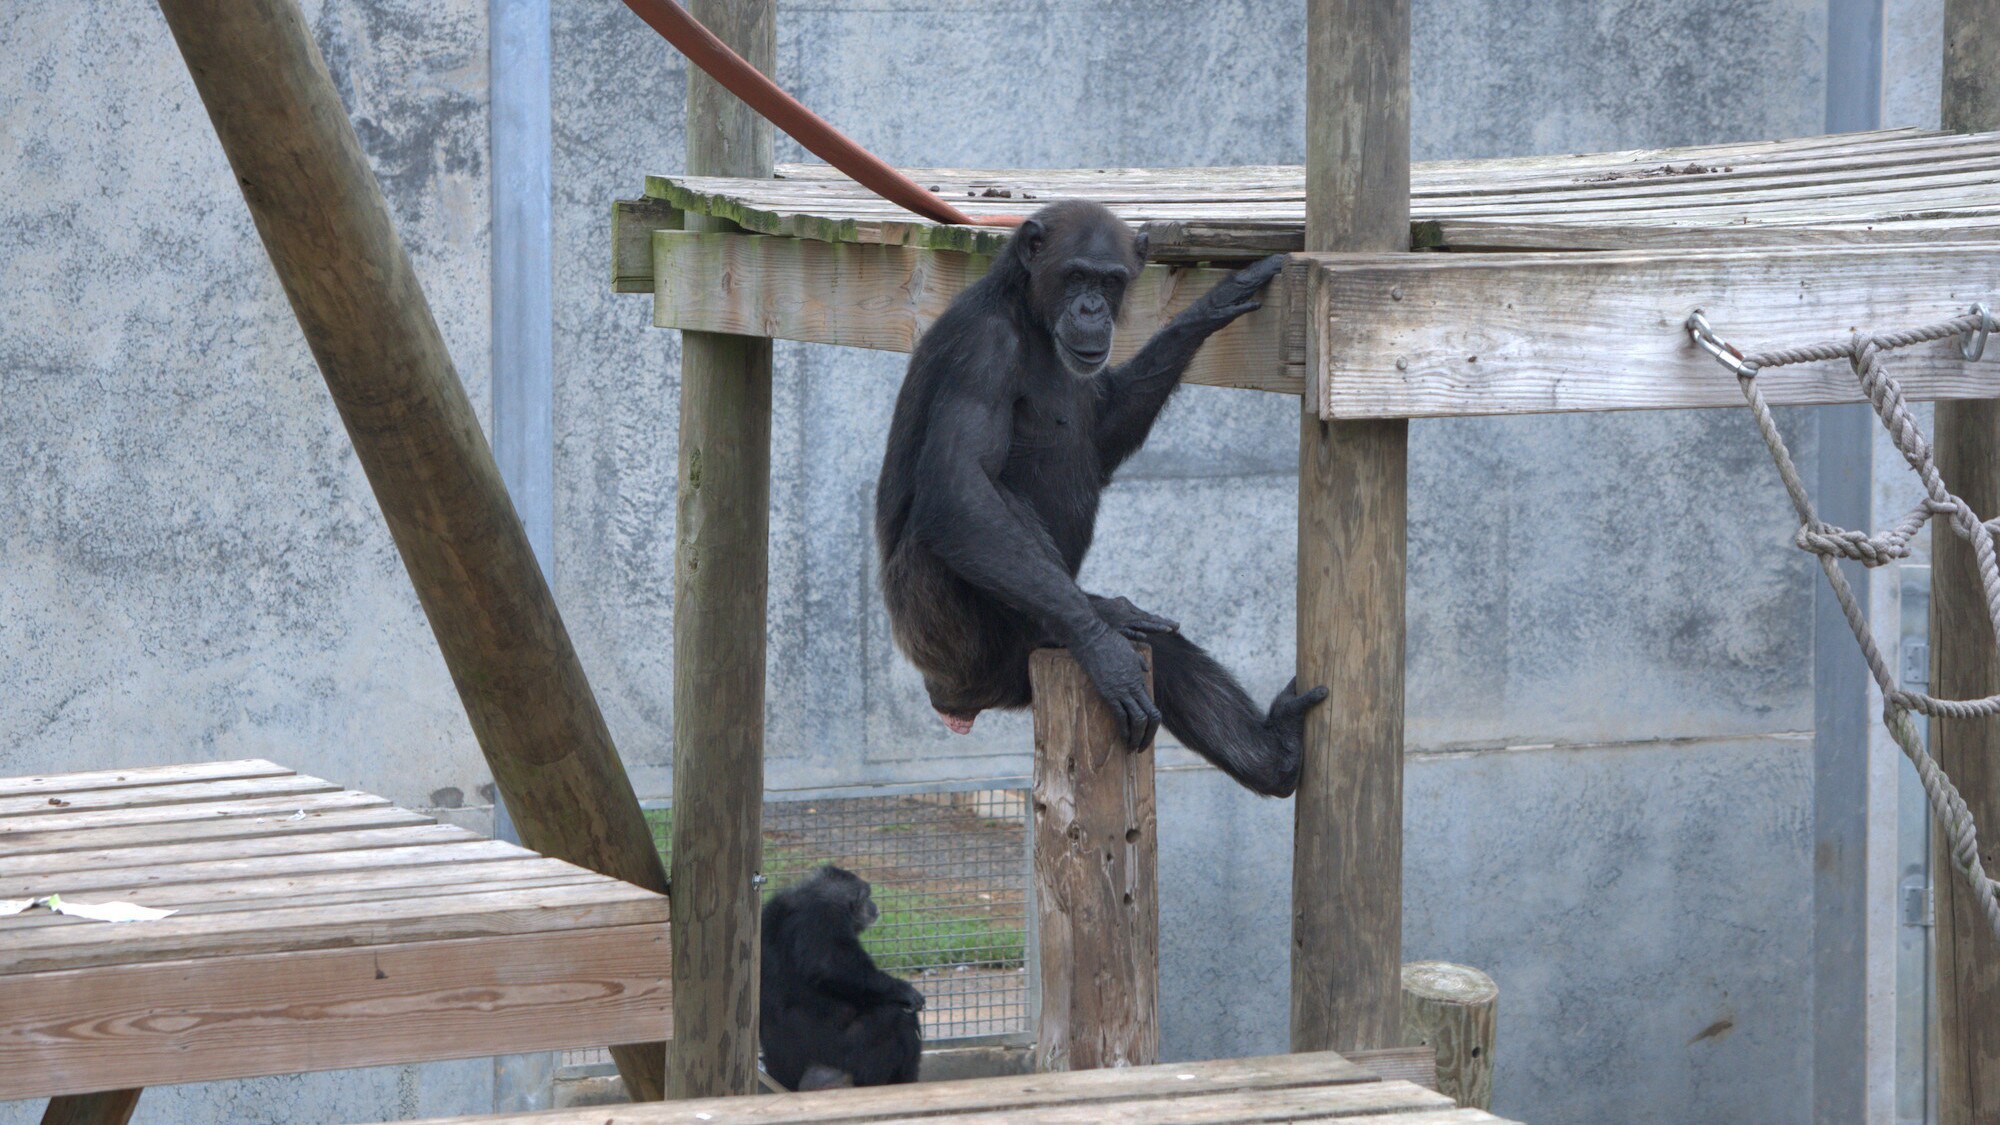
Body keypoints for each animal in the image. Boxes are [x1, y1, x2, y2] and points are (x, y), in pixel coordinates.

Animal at [760, 856, 924, 1088]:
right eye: (866, 897)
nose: (874, 905)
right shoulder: (824, 916)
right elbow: (831, 967)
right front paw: (903, 990)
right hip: (841, 1053)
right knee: (898, 1017)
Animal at [876, 201, 1328, 796]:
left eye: (1109, 281)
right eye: (1075, 276)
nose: (1091, 307)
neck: (1030, 316)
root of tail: (949, 699)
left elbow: (1103, 430)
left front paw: (1210, 308)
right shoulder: (982, 349)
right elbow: (961, 484)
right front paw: (1103, 647)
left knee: (1165, 653)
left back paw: (1277, 753)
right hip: (943, 637)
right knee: (985, 509)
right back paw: (1090, 616)